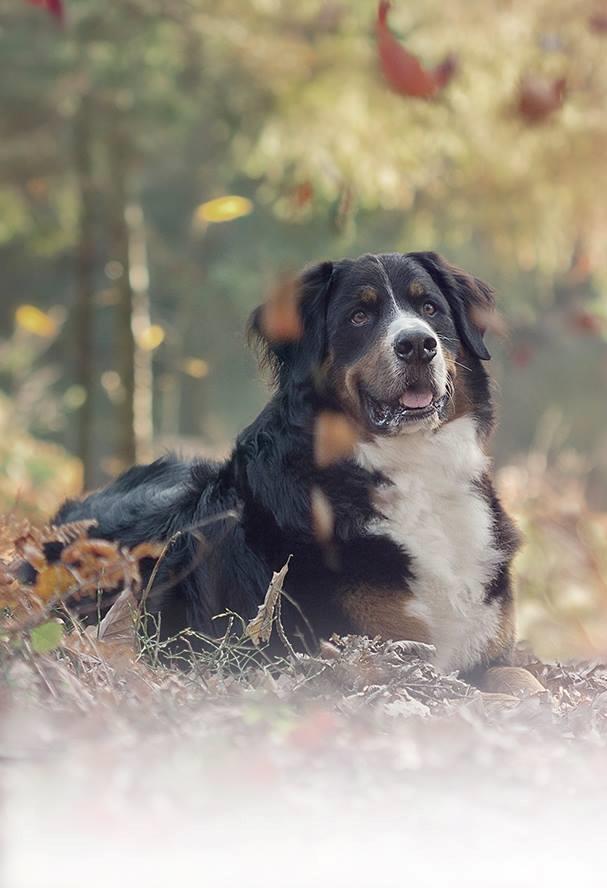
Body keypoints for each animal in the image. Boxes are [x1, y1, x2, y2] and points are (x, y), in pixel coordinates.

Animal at [52, 250, 540, 692]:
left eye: (429, 308)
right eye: (359, 316)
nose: (418, 345)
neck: (414, 469)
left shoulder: (489, 652)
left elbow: (522, 680)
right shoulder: (373, 653)